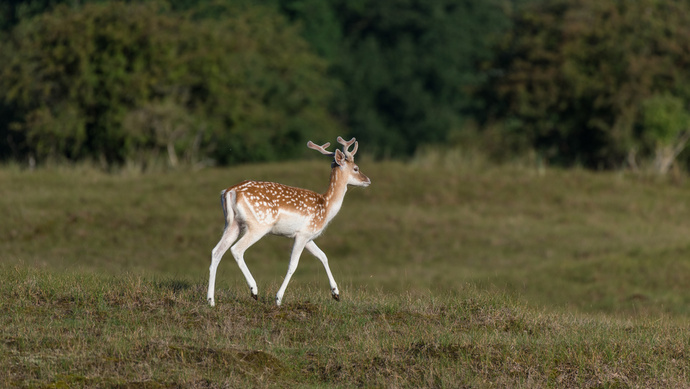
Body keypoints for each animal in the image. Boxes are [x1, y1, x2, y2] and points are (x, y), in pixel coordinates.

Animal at [206, 136, 370, 306]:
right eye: (356, 168)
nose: (368, 180)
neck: (325, 207)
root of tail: (229, 192)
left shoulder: (307, 236)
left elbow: (323, 256)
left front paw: (336, 293)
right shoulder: (303, 234)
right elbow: (293, 264)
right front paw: (278, 298)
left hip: (232, 224)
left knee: (216, 251)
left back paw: (211, 300)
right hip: (258, 225)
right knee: (236, 249)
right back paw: (254, 290)